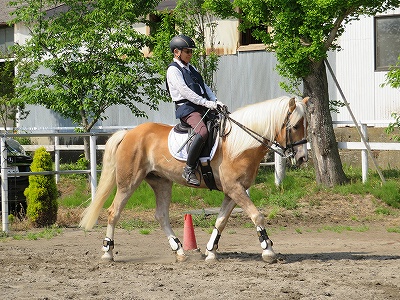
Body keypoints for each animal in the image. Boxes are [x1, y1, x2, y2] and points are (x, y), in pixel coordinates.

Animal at [79, 95, 310, 262]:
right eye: (295, 126)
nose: (302, 158)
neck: (239, 144)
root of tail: (129, 133)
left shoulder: (233, 191)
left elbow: (221, 221)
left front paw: (211, 252)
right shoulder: (235, 188)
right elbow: (257, 215)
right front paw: (268, 250)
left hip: (161, 182)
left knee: (161, 215)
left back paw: (180, 251)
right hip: (128, 182)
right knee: (114, 212)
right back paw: (107, 253)